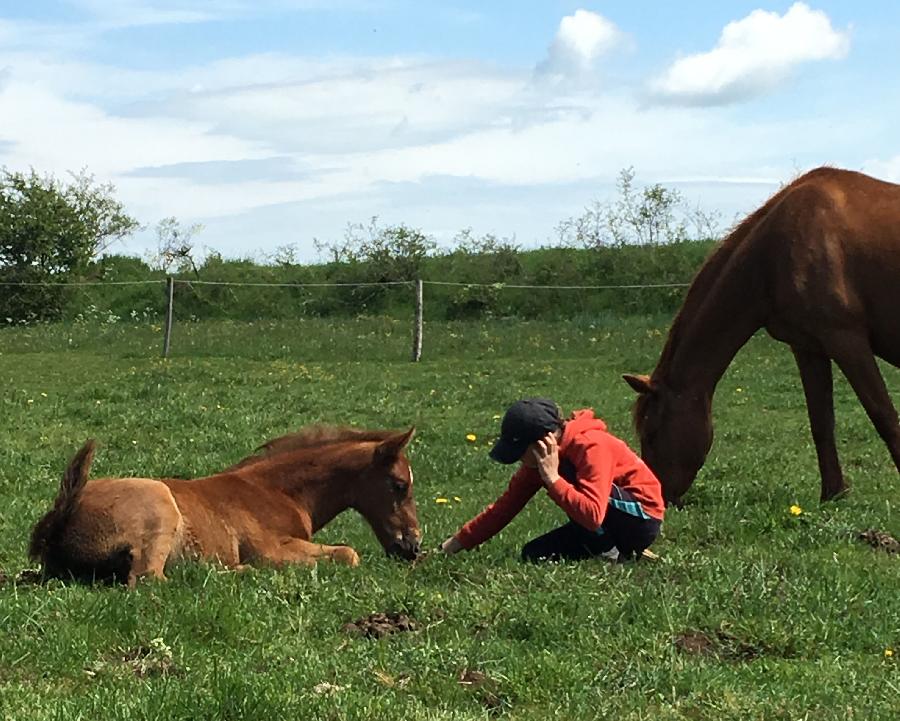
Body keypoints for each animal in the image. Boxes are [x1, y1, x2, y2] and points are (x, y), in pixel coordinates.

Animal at [29, 424, 420, 584]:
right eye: (400, 485)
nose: (413, 547)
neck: (277, 491)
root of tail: (61, 514)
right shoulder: (271, 548)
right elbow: (347, 554)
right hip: (160, 504)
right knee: (150, 577)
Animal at [624, 169, 900, 506]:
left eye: (651, 434)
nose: (652, 496)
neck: (772, 253)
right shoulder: (808, 347)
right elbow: (821, 422)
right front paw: (833, 494)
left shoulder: (846, 340)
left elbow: (884, 416)